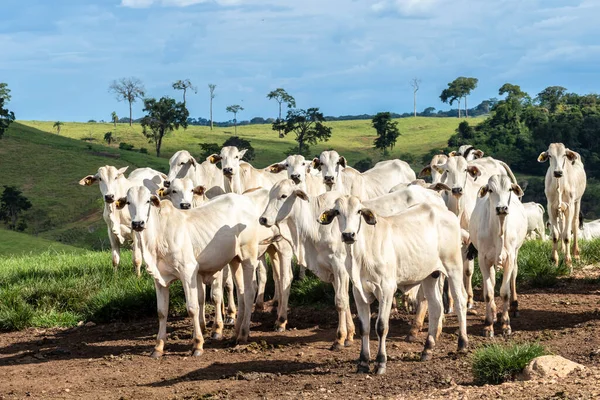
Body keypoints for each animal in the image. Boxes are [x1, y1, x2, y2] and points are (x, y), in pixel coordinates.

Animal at [118, 186, 282, 354]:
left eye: (148, 201)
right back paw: (236, 333)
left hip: (249, 256)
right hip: (234, 259)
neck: (158, 236)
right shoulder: (160, 279)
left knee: (249, 292)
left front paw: (197, 343)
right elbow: (161, 312)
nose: (138, 223)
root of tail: (246, 200)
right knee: (241, 292)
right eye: (128, 202)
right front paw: (158, 347)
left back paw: (243, 334)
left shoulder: (188, 272)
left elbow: (193, 308)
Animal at [318, 195, 468, 374]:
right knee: (436, 307)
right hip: (430, 275)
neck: (361, 254)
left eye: (359, 211)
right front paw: (363, 362)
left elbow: (381, 326)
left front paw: (381, 362)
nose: (348, 235)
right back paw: (427, 349)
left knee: (460, 301)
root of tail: (448, 214)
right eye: (337, 212)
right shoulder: (358, 291)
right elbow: (364, 327)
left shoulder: (386, 289)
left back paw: (462, 344)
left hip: (454, 267)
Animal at [468, 175, 524, 338]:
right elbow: (488, 293)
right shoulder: (483, 259)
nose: (502, 208)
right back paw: (493, 315)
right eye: (490, 190)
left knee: (513, 276)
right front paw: (488, 325)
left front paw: (505, 324)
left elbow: (505, 292)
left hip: (516, 253)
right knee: (492, 282)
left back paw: (514, 306)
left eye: (509, 189)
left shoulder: (510, 258)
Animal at [540, 142, 584, 270]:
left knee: (574, 224)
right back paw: (562, 249)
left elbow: (566, 235)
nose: (558, 172)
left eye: (564, 155)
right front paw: (554, 261)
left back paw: (576, 254)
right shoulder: (551, 207)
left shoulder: (569, 206)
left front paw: (568, 262)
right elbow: (556, 234)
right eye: (549, 155)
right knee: (562, 225)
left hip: (577, 202)